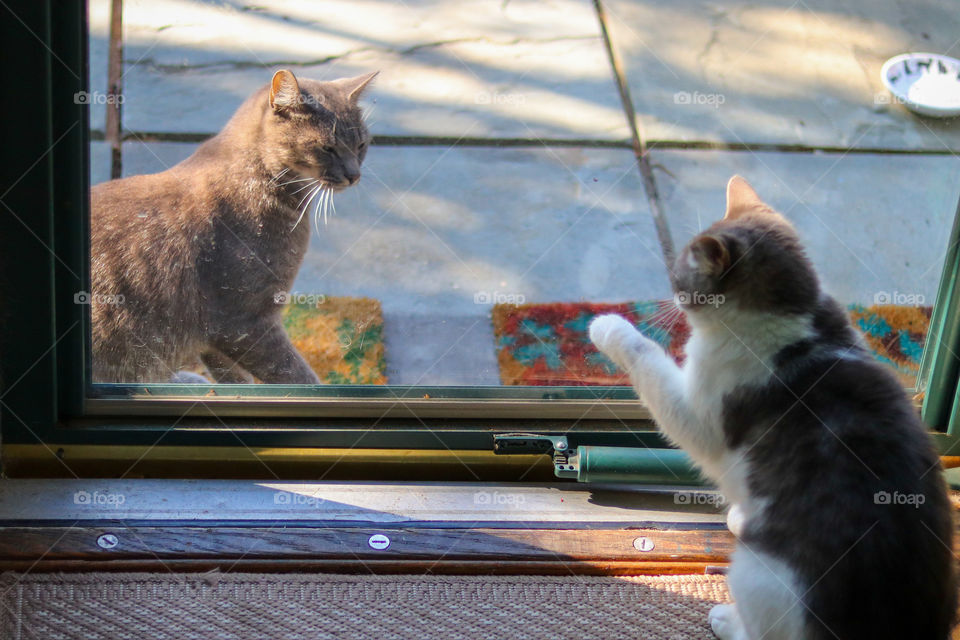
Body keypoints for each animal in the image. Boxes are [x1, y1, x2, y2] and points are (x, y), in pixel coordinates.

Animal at [90, 69, 376, 384]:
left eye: (361, 145)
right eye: (327, 148)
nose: (354, 174)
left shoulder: (215, 338)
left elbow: (234, 378)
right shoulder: (245, 324)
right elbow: (298, 377)